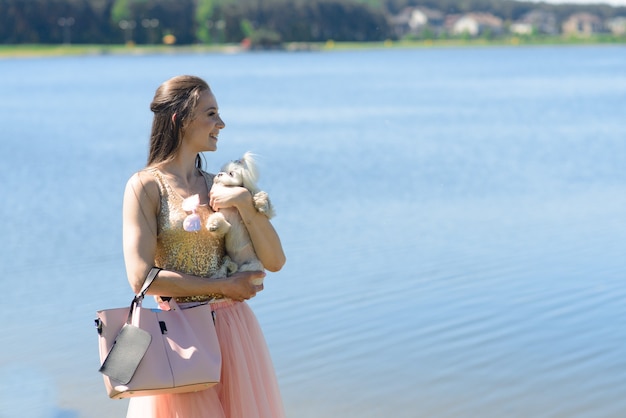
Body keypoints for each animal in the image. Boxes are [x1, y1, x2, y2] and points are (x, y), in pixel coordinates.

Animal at [207, 152, 272, 282]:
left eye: (231, 173)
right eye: (221, 171)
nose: (219, 174)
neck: (234, 207)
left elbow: (266, 204)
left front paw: (262, 204)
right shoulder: (224, 217)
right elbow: (220, 221)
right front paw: (213, 225)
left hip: (254, 266)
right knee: (228, 265)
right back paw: (227, 269)